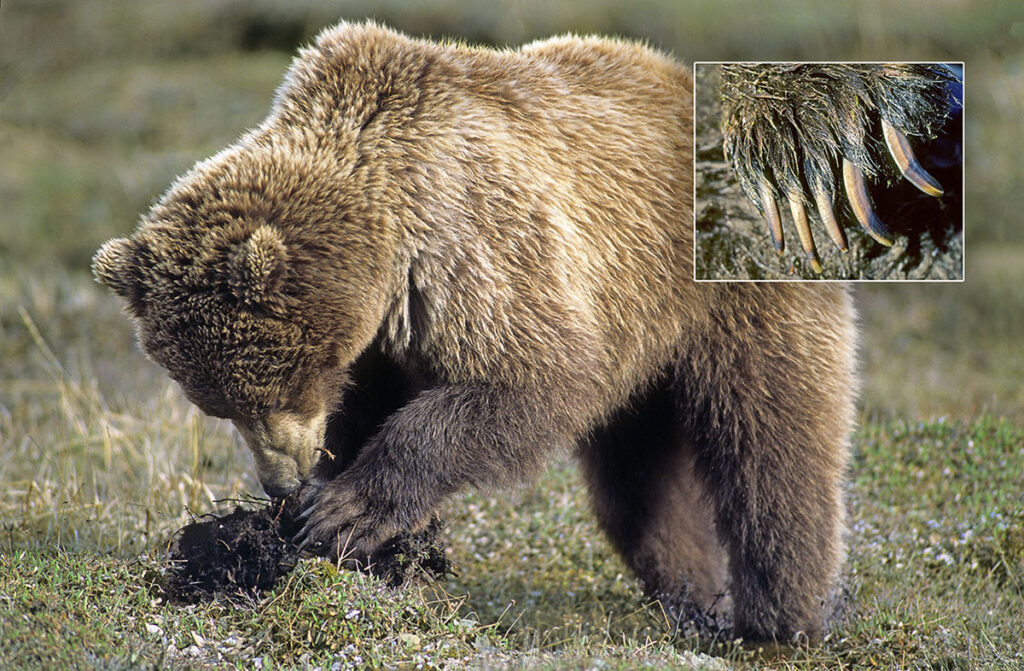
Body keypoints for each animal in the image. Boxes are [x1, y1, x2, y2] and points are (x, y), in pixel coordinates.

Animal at [92, 21, 857, 643]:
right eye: (218, 406)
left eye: (274, 389)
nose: (282, 483)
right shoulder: (383, 338)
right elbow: (371, 405)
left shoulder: (470, 245)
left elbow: (527, 375)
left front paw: (345, 512)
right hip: (641, 337)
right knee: (637, 482)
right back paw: (688, 590)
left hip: (728, 289)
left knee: (773, 441)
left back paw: (779, 614)